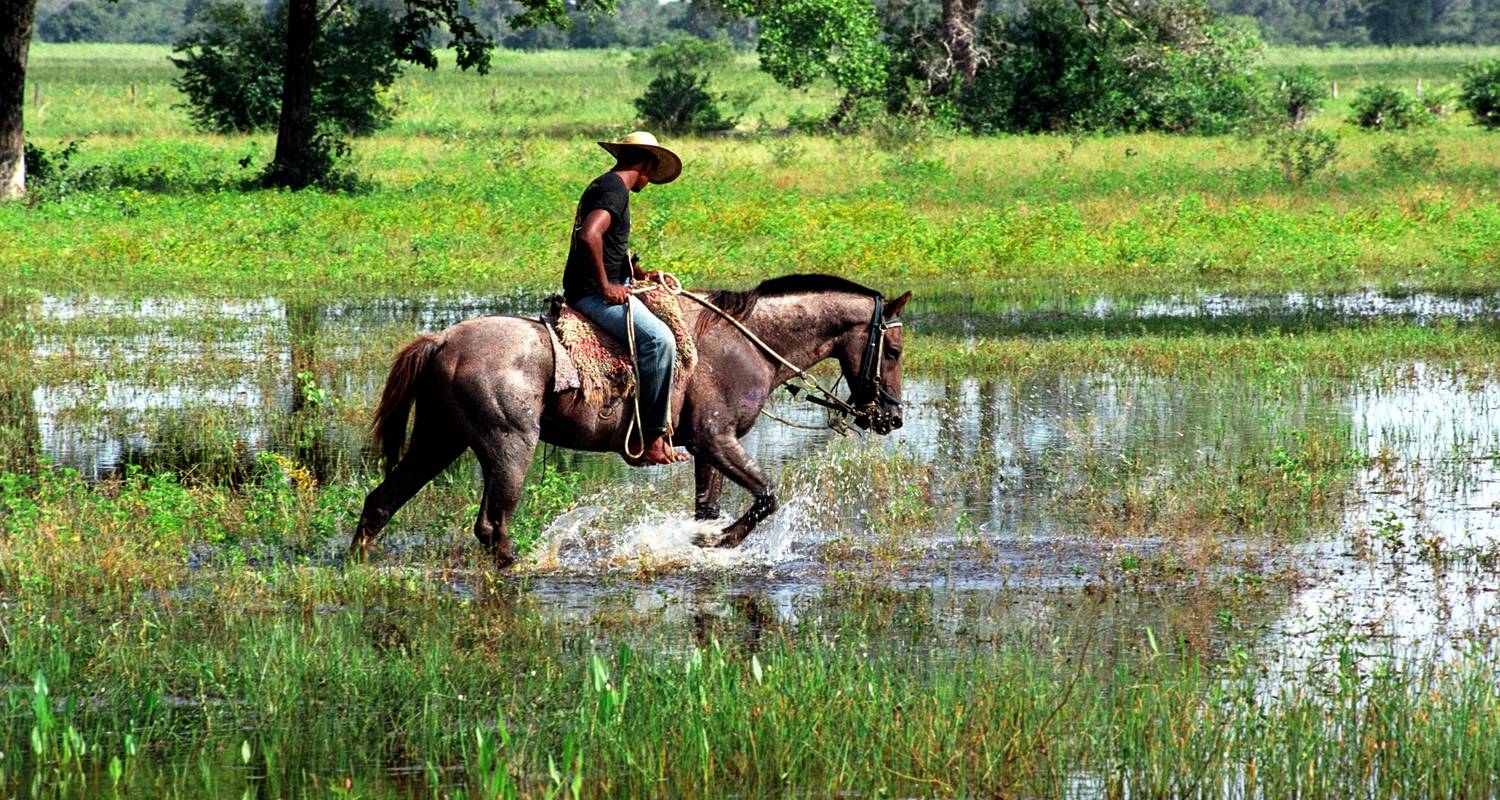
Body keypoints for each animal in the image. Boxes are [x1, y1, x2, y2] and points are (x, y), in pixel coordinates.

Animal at [354, 274, 912, 567]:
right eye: (895, 349)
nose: (891, 418)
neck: (746, 343)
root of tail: (443, 340)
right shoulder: (717, 439)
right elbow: (766, 497)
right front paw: (719, 543)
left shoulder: (709, 450)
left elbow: (709, 508)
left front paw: (702, 543)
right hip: (508, 446)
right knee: (492, 525)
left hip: (438, 440)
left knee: (381, 501)